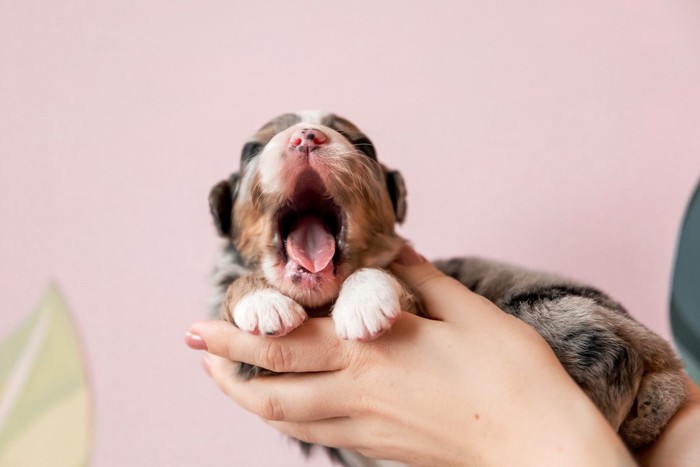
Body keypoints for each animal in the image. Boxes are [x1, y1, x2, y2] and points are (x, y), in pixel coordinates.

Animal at [209, 112, 688, 460]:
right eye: (252, 149)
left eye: (363, 145)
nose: (306, 136)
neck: (320, 303)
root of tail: (669, 366)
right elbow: (231, 290)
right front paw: (263, 303)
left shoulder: (416, 293)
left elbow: (387, 277)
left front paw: (364, 304)